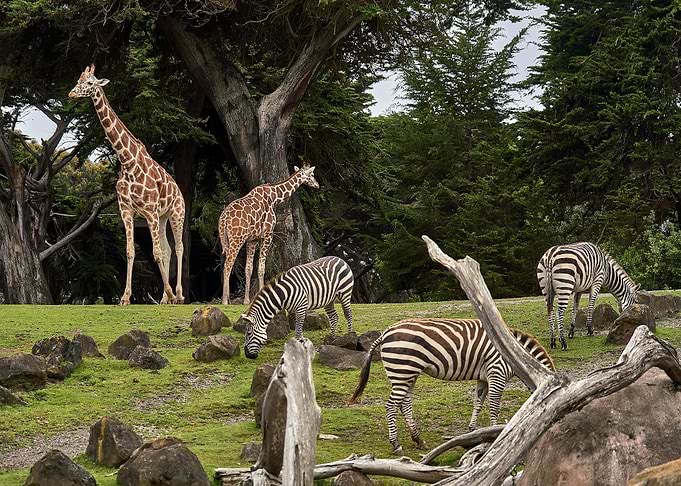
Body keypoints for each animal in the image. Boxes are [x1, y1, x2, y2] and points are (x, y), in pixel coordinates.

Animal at [69, 64, 185, 305]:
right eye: (78, 80)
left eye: (90, 83)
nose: (71, 94)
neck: (127, 161)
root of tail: (178, 190)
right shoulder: (127, 210)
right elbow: (131, 251)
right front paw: (124, 297)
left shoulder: (149, 211)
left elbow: (156, 253)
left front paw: (170, 293)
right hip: (162, 217)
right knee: (168, 249)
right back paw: (164, 298)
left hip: (177, 212)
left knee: (178, 247)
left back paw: (178, 294)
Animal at [219, 165, 319, 305]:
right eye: (312, 175)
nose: (317, 185)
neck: (274, 197)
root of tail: (224, 219)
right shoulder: (267, 234)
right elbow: (261, 268)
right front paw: (261, 294)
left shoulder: (253, 239)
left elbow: (249, 269)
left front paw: (246, 300)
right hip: (237, 239)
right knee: (228, 265)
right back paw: (224, 301)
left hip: (226, 240)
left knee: (226, 264)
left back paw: (228, 298)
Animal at [349, 318, 554, 454]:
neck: (516, 356)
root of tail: (386, 332)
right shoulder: (497, 373)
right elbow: (494, 406)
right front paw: (496, 433)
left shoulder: (483, 378)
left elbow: (478, 402)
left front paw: (474, 430)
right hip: (403, 370)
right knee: (391, 405)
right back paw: (396, 444)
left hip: (407, 374)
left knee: (404, 404)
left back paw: (418, 440)